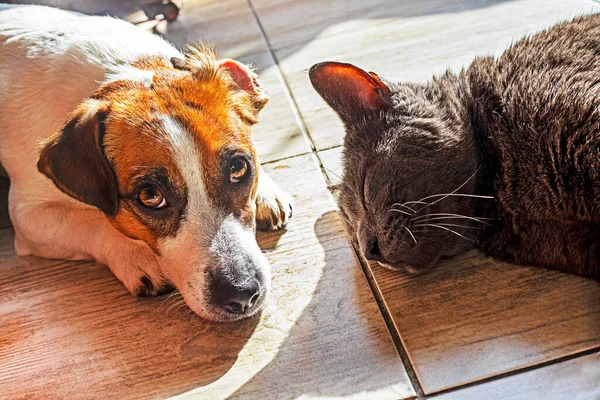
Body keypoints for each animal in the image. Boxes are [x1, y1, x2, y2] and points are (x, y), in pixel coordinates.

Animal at [0, 4, 292, 320]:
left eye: (239, 168)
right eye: (150, 196)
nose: (241, 294)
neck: (120, 72)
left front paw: (266, 191)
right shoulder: (28, 217)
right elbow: (92, 222)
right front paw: (136, 255)